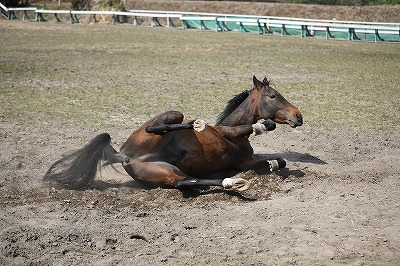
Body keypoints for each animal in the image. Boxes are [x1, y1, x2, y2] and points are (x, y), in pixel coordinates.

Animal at [43, 76, 302, 191]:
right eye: (272, 96)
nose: (298, 116)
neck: (238, 141)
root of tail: (124, 155)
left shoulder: (242, 162)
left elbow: (278, 161)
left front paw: (273, 164)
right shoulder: (226, 132)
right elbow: (258, 127)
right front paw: (263, 125)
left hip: (165, 172)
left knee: (184, 181)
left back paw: (231, 182)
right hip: (168, 118)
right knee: (158, 126)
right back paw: (196, 124)